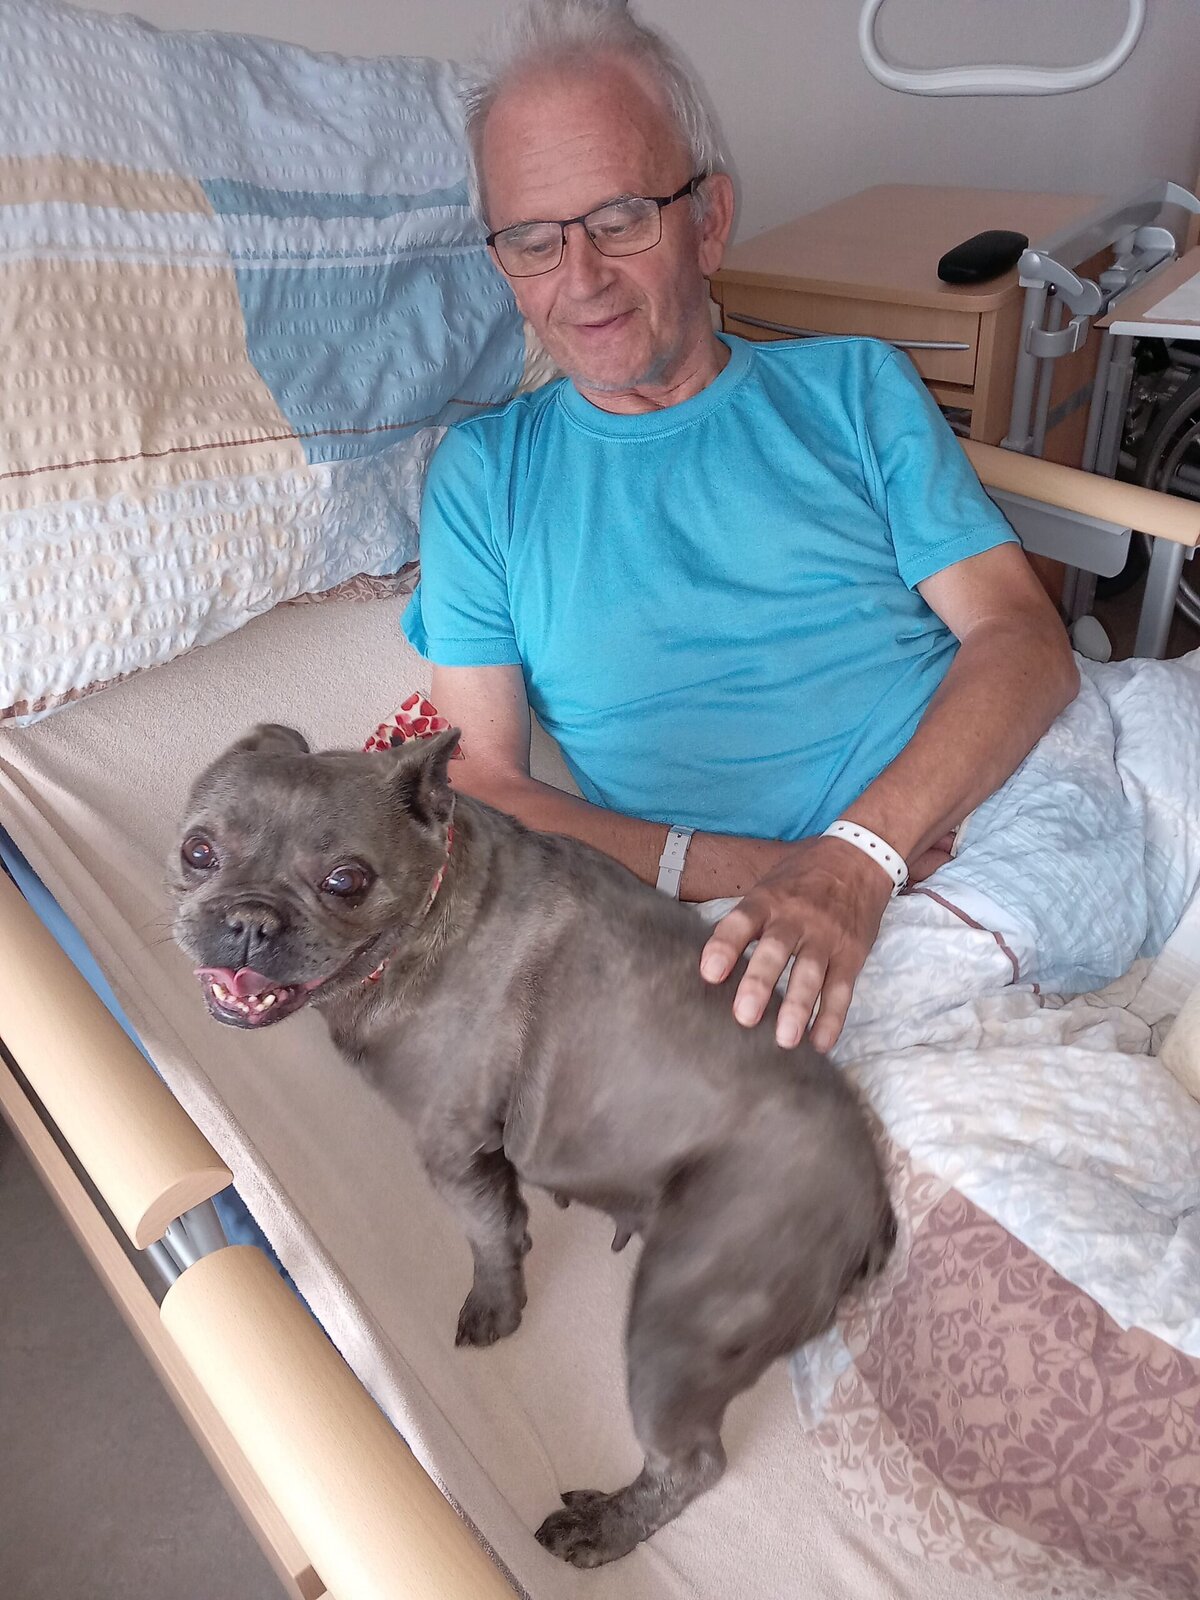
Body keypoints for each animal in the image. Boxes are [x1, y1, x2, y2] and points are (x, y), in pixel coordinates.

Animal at [170, 723, 896, 1568]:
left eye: (347, 880)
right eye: (197, 851)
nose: (251, 920)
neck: (427, 912)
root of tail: (872, 1208)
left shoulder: (453, 1146)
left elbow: (488, 1235)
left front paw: (496, 1304)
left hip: (684, 1312)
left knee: (693, 1462)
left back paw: (605, 1528)